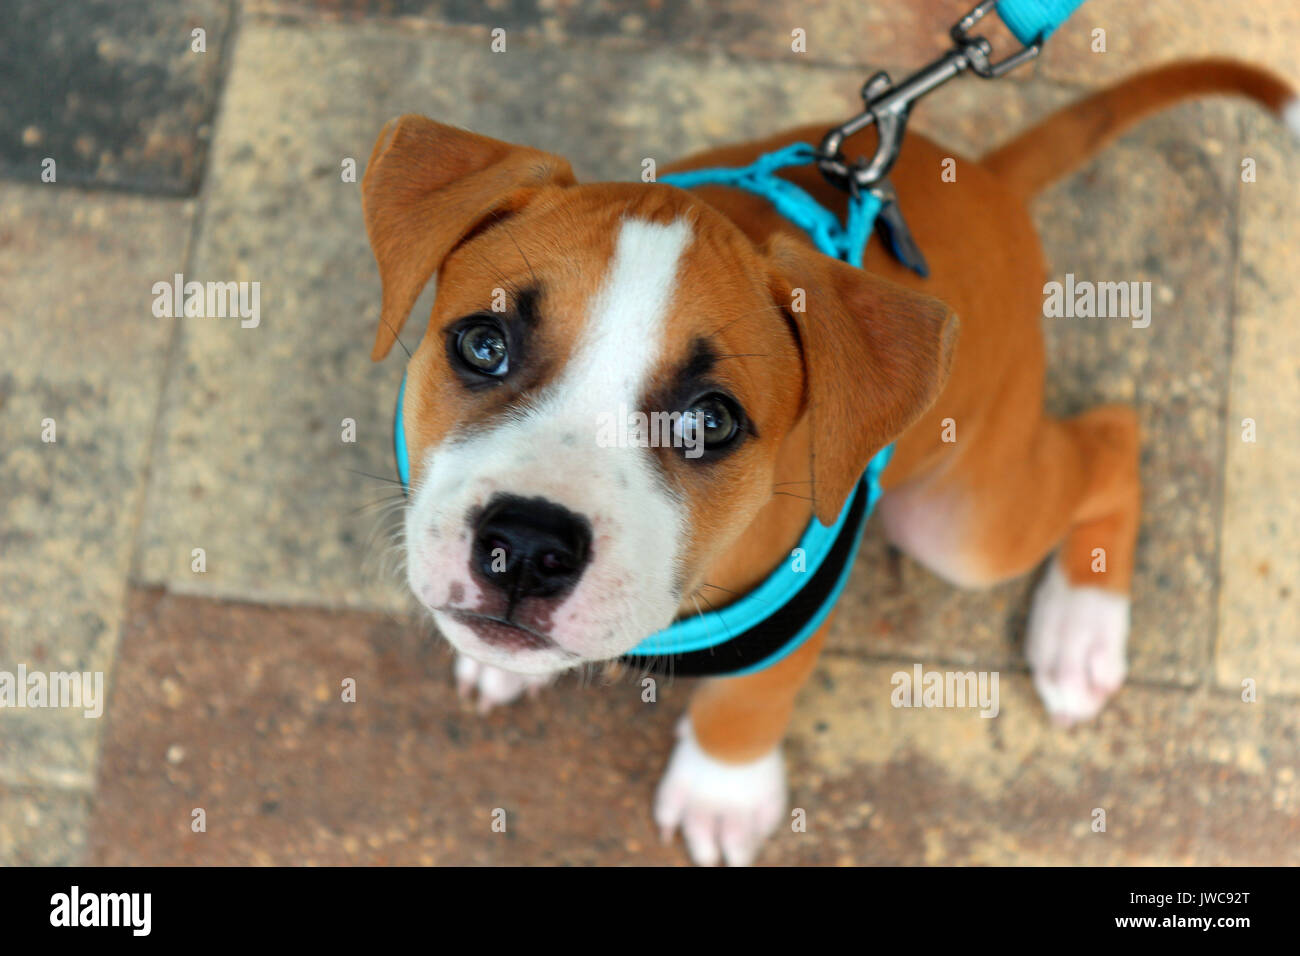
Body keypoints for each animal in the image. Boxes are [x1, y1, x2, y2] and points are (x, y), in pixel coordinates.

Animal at [361, 59, 1294, 868]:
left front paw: (721, 794)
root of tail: (987, 179)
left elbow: (748, 701)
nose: (525, 547)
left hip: (962, 524)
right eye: (483, 344)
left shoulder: (795, 609)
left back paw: (1081, 628)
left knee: (1112, 435)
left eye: (710, 422)